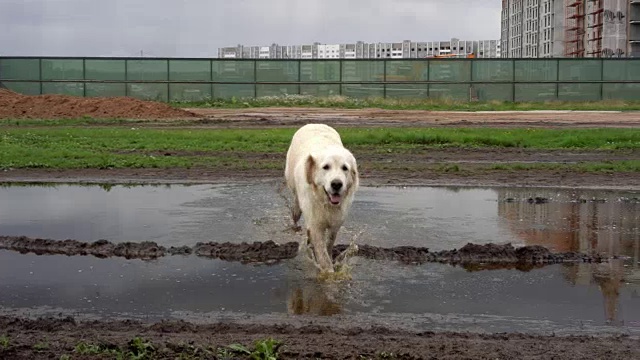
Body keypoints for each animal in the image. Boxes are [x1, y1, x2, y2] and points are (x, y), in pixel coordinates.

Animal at [284, 124, 360, 272]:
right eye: (326, 167)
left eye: (345, 168)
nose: (336, 184)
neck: (326, 203)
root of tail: (313, 123)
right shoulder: (316, 225)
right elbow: (322, 254)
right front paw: (329, 273)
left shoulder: (335, 224)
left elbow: (329, 244)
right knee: (296, 207)